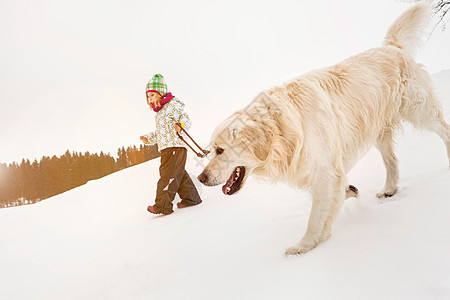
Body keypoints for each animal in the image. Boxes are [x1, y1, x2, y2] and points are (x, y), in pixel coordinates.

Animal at [197, 3, 450, 254]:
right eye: (210, 151)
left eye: (220, 150)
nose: (200, 177)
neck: (283, 131)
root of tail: (391, 47)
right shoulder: (321, 171)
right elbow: (332, 202)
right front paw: (346, 196)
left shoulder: (325, 172)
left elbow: (315, 217)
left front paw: (304, 246)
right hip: (377, 128)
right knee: (392, 160)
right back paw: (389, 189)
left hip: (419, 110)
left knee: (444, 131)